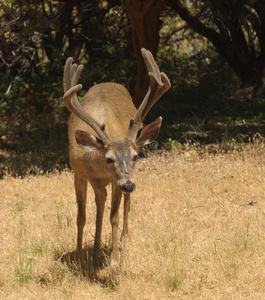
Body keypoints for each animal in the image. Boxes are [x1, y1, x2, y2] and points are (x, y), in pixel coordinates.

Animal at [63, 48, 170, 268]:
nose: (129, 184)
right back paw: (95, 252)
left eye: (136, 156)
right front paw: (78, 259)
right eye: (109, 158)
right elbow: (81, 217)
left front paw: (114, 261)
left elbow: (114, 216)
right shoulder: (78, 173)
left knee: (124, 205)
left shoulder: (116, 180)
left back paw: (123, 240)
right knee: (100, 205)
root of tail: (109, 82)